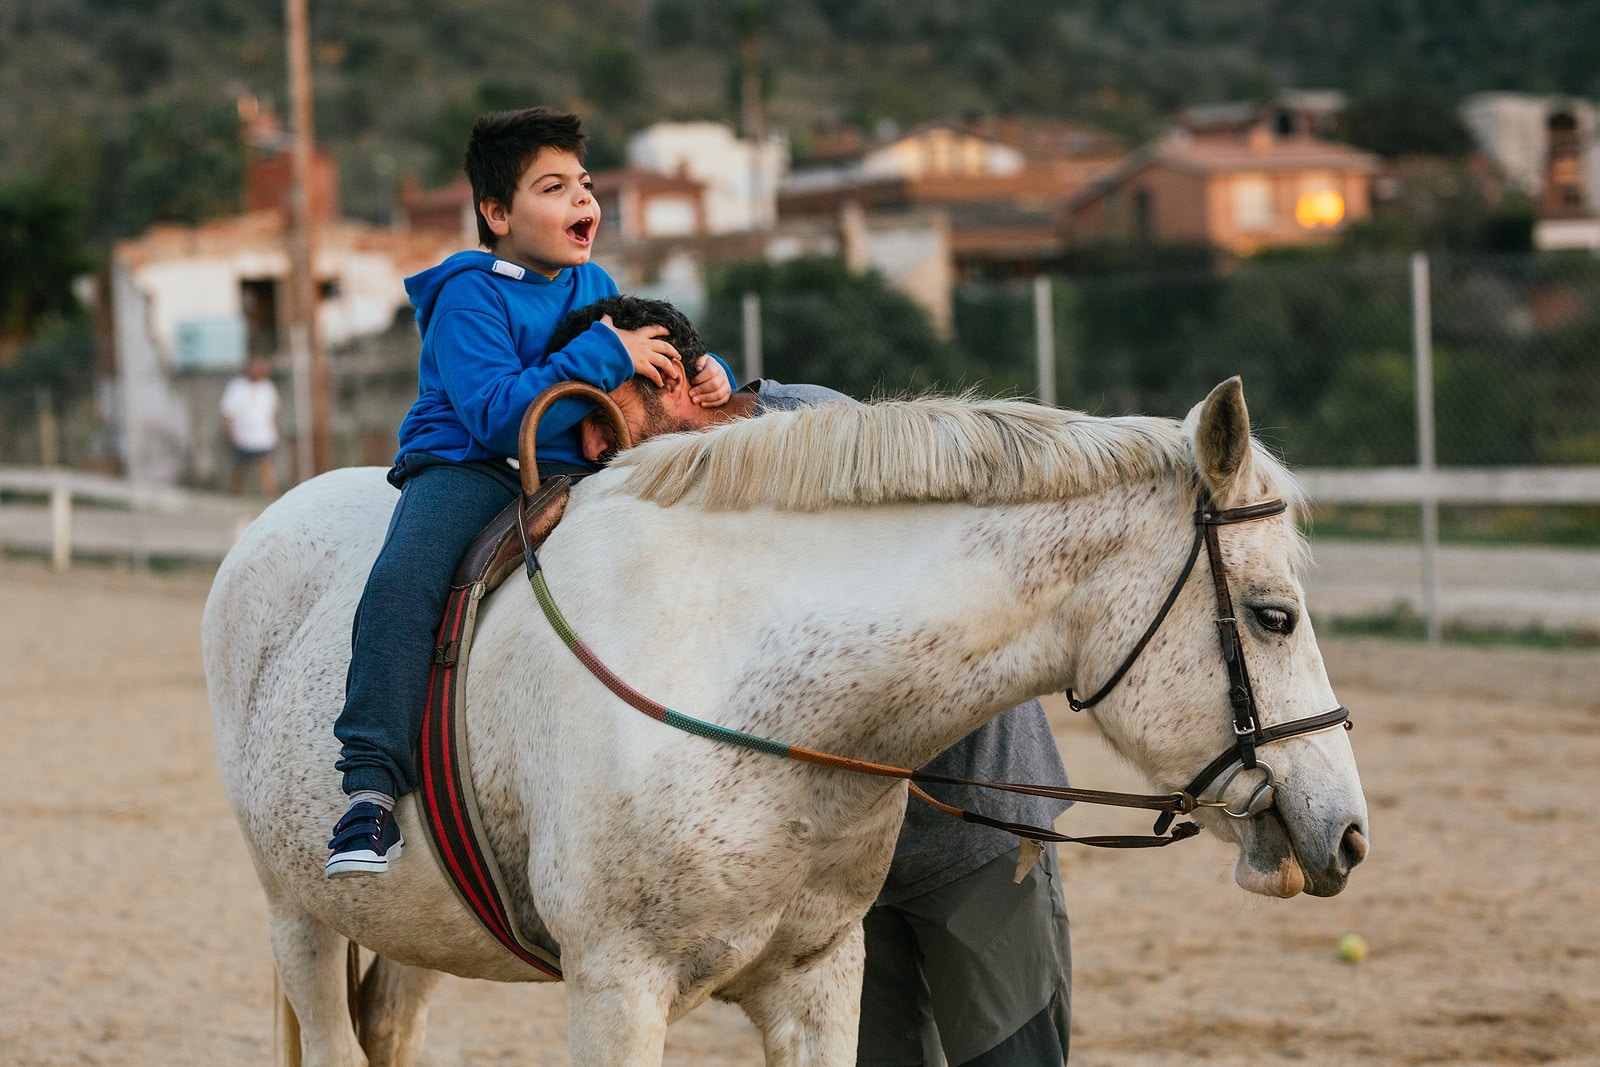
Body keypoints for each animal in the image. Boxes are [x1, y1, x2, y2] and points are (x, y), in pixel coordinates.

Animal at [206, 382, 1363, 1067]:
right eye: (1274, 613)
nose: (1346, 830)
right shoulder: (614, 988)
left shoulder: (816, 981)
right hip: (296, 913)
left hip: (420, 926)